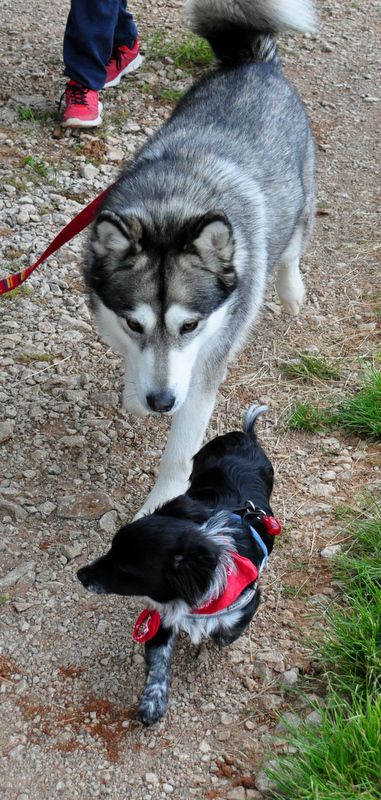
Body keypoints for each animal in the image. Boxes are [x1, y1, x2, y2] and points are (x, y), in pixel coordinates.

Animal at [77, 406, 280, 724]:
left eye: (125, 569)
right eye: (110, 548)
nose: (80, 574)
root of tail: (245, 437)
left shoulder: (249, 599)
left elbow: (225, 633)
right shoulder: (160, 615)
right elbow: (158, 661)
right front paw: (152, 702)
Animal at [84, 0, 316, 516]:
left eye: (190, 326)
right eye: (134, 324)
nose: (161, 402)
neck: (171, 208)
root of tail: (253, 62)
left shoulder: (205, 370)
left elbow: (180, 454)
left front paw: (158, 504)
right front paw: (134, 390)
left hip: (302, 191)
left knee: (292, 243)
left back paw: (291, 290)